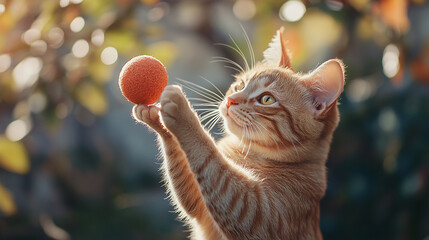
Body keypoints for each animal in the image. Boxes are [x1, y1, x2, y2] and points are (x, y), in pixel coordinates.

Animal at [131, 26, 344, 240]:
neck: (245, 152)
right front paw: (154, 118)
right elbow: (183, 163)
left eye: (267, 99)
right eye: (241, 85)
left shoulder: (256, 214)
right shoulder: (198, 202)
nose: (230, 100)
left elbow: (209, 158)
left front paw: (184, 113)